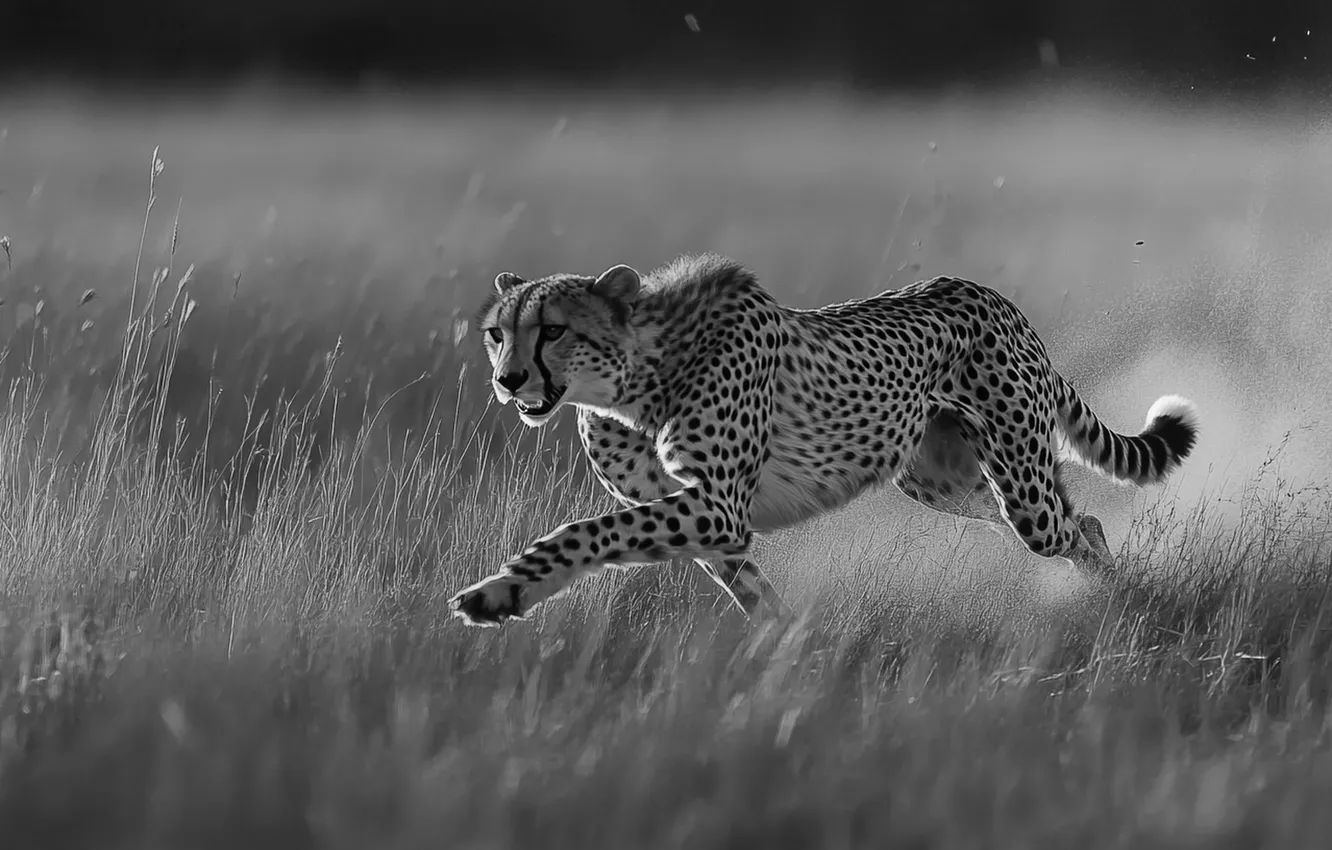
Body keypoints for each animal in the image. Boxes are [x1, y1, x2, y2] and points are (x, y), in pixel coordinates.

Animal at [449, 253, 1199, 626]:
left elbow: (584, 531)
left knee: (1075, 529)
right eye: (496, 333)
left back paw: (1129, 599)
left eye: (553, 329)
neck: (633, 382)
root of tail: (991, 296)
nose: (509, 381)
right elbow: (750, 595)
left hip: (1019, 488)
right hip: (951, 482)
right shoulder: (714, 526)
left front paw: (496, 593)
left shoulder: (717, 506)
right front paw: (784, 645)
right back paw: (1117, 597)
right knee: (1080, 519)